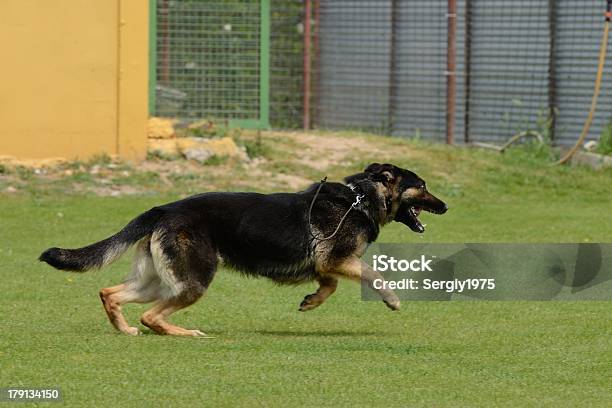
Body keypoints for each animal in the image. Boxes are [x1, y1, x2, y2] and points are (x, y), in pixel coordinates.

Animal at [40, 164, 448, 336]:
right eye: (424, 186)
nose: (445, 207)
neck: (360, 199)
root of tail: (163, 209)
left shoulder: (328, 264)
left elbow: (328, 286)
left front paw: (310, 302)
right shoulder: (339, 259)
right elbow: (372, 273)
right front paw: (391, 299)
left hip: (158, 281)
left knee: (110, 293)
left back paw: (124, 329)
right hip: (193, 281)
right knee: (151, 316)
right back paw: (184, 333)